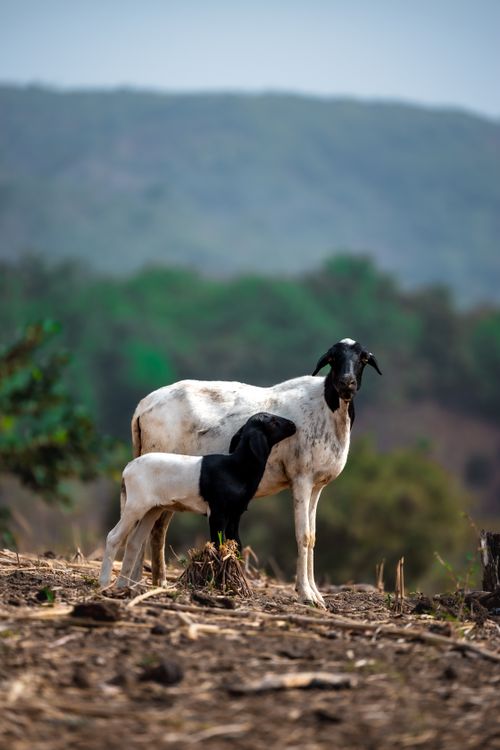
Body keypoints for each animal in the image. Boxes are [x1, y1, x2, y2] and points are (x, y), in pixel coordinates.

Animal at [99, 412, 296, 588]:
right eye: (273, 422)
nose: (293, 425)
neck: (235, 467)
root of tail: (127, 469)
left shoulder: (235, 515)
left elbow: (236, 545)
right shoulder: (217, 513)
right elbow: (218, 544)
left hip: (152, 509)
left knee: (134, 542)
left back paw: (123, 586)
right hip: (135, 506)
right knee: (114, 537)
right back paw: (104, 584)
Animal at [123, 338, 381, 605]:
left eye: (363, 358)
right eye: (333, 358)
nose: (346, 383)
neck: (326, 408)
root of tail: (142, 407)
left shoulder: (317, 485)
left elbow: (313, 537)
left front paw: (315, 594)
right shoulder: (301, 478)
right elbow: (303, 535)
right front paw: (306, 594)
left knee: (155, 528)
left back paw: (152, 583)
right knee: (147, 527)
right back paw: (139, 583)